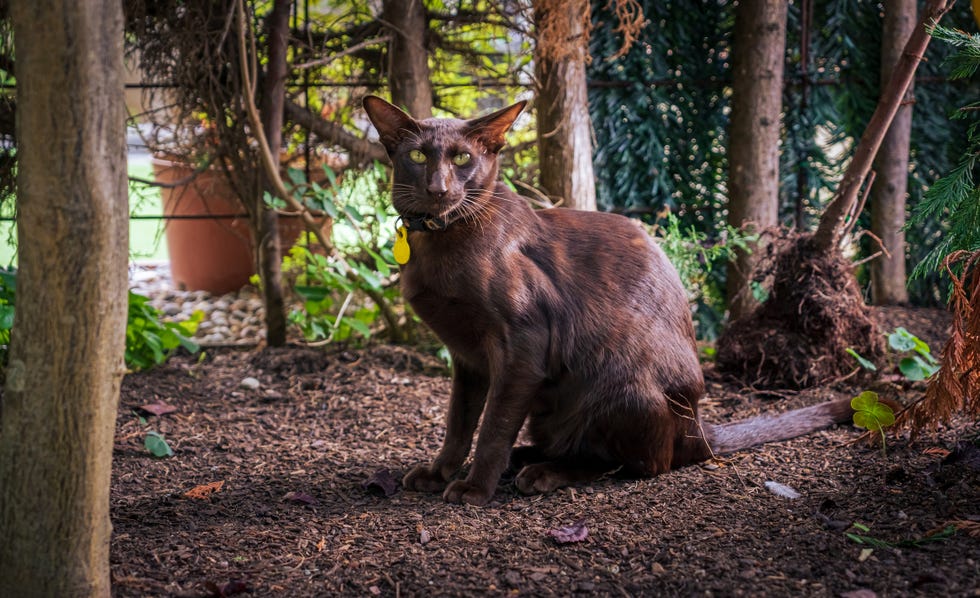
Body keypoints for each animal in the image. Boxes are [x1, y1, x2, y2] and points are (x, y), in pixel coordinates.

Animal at [362, 96, 856, 508]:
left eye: (463, 158)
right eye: (418, 156)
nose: (438, 189)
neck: (442, 239)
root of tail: (698, 428)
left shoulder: (521, 347)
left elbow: (493, 428)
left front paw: (473, 488)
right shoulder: (467, 358)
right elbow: (459, 424)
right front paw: (438, 473)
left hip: (621, 384)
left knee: (637, 464)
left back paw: (541, 472)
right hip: (550, 407)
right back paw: (528, 457)